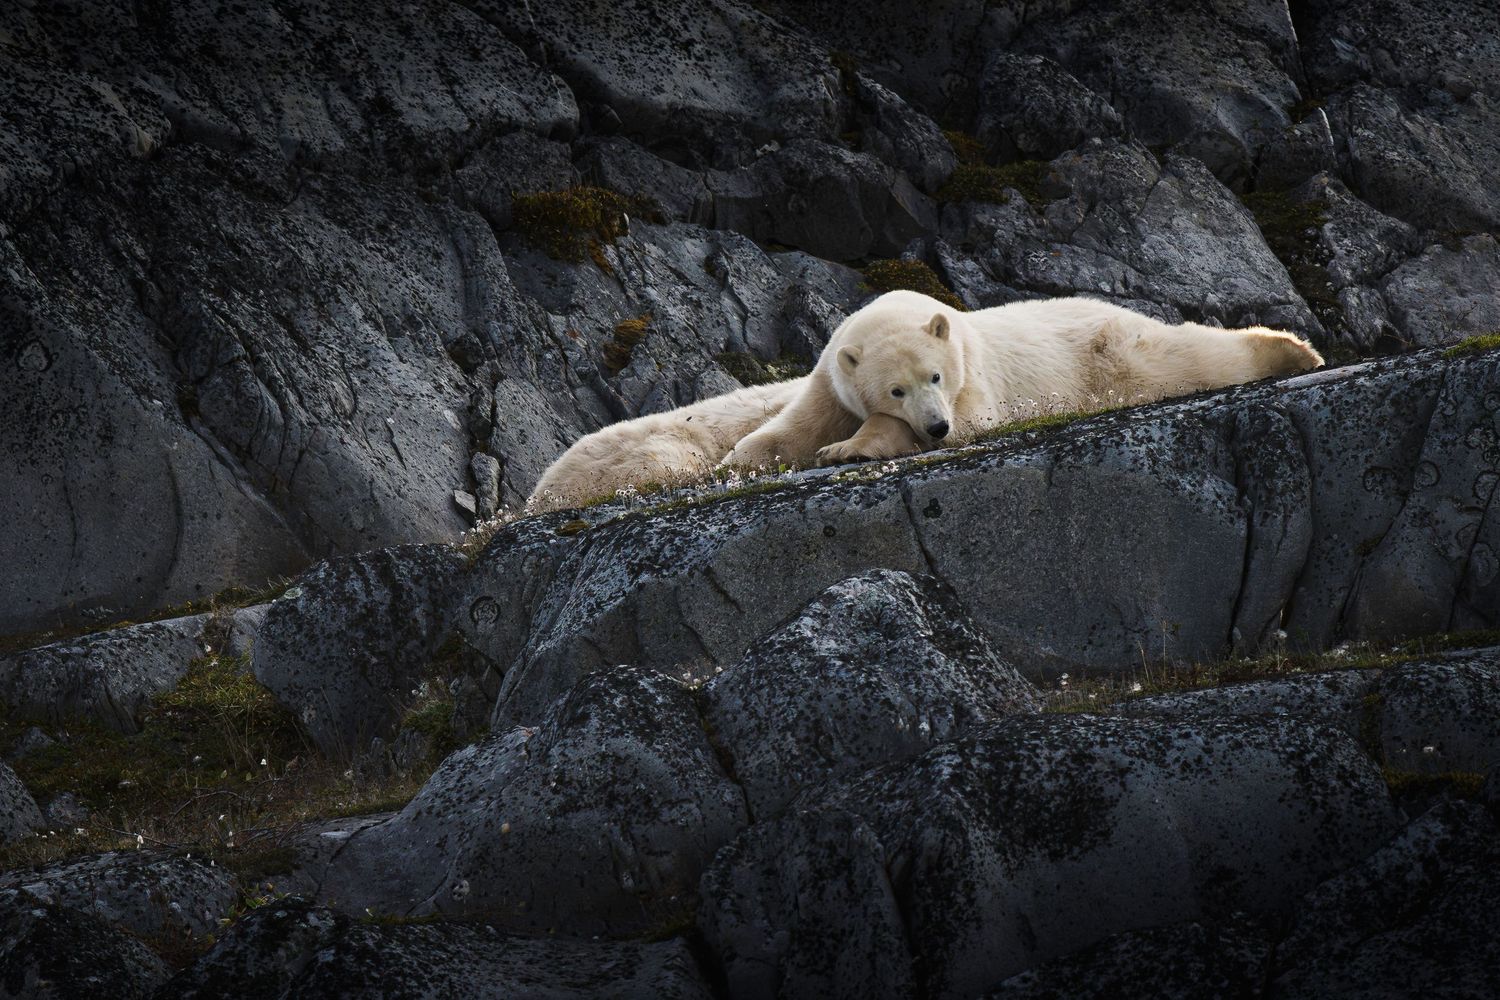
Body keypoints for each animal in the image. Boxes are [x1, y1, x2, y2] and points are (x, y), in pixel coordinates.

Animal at [721, 290, 1324, 468]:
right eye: (896, 389)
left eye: (935, 376)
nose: (936, 428)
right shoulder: (830, 375)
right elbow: (794, 425)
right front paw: (735, 462)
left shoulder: (972, 375)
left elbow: (973, 419)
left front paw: (850, 448)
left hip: (1111, 355)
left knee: (1185, 356)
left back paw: (1292, 350)